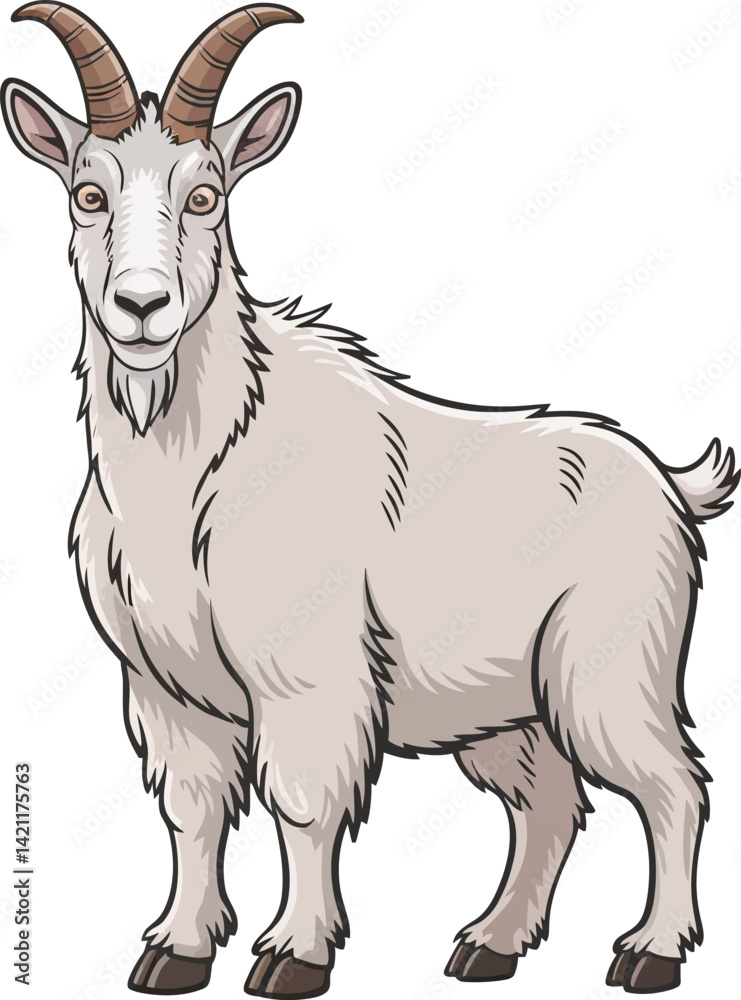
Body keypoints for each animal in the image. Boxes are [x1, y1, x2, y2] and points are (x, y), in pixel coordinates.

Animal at [3, 4, 738, 997]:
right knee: (548, 802)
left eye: (207, 197)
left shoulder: (306, 674)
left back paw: (649, 952)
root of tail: (668, 481)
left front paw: (291, 955)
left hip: (609, 667)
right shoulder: (168, 690)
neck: (200, 464)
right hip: (508, 705)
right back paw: (486, 945)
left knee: (670, 786)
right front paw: (174, 950)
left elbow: (301, 802)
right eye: (87, 193)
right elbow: (192, 810)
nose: (142, 307)